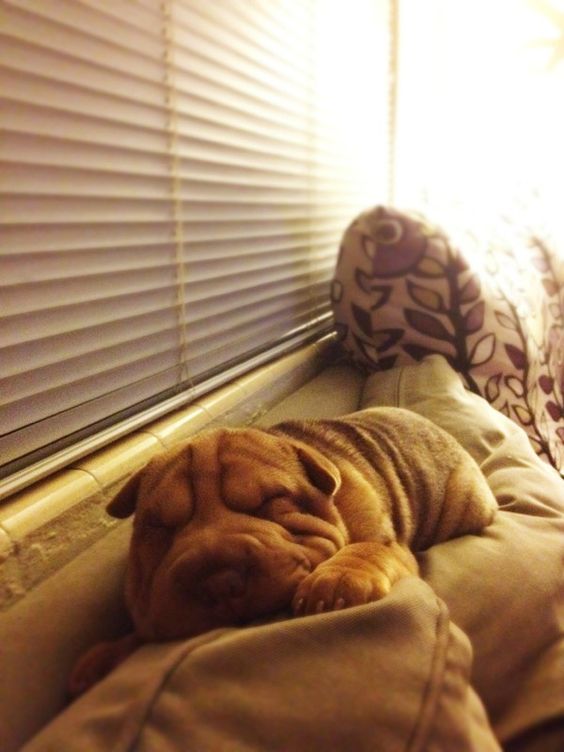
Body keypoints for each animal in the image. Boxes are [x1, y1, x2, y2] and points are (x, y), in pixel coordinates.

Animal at [68, 408, 496, 696]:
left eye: (272, 502)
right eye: (158, 526)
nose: (219, 581)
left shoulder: (386, 542)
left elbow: (366, 549)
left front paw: (335, 582)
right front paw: (105, 658)